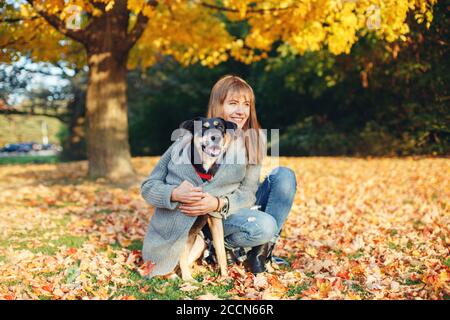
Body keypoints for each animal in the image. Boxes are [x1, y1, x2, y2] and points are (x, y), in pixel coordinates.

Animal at [178, 116, 237, 282]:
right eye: (203, 127)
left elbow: (221, 250)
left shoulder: (214, 216)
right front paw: (187, 280)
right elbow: (181, 253)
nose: (215, 137)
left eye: (220, 126)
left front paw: (224, 276)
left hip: (200, 242)